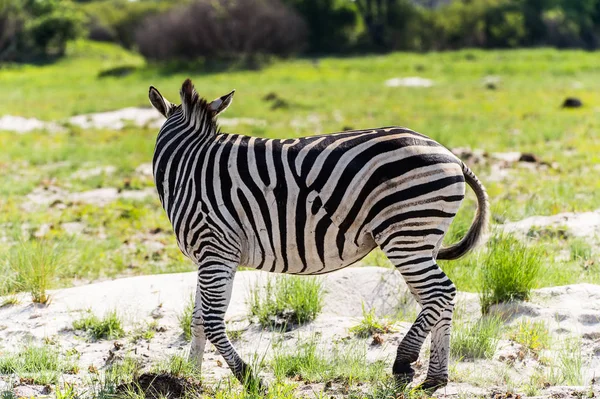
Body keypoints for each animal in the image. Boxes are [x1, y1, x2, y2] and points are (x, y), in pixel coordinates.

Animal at [149, 79, 488, 394]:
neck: (187, 169)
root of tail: (451, 155)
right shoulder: (211, 256)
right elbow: (197, 321)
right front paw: (190, 380)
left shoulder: (215, 248)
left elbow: (210, 320)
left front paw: (249, 379)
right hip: (423, 238)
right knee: (434, 299)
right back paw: (434, 378)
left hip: (406, 235)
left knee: (441, 292)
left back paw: (404, 362)